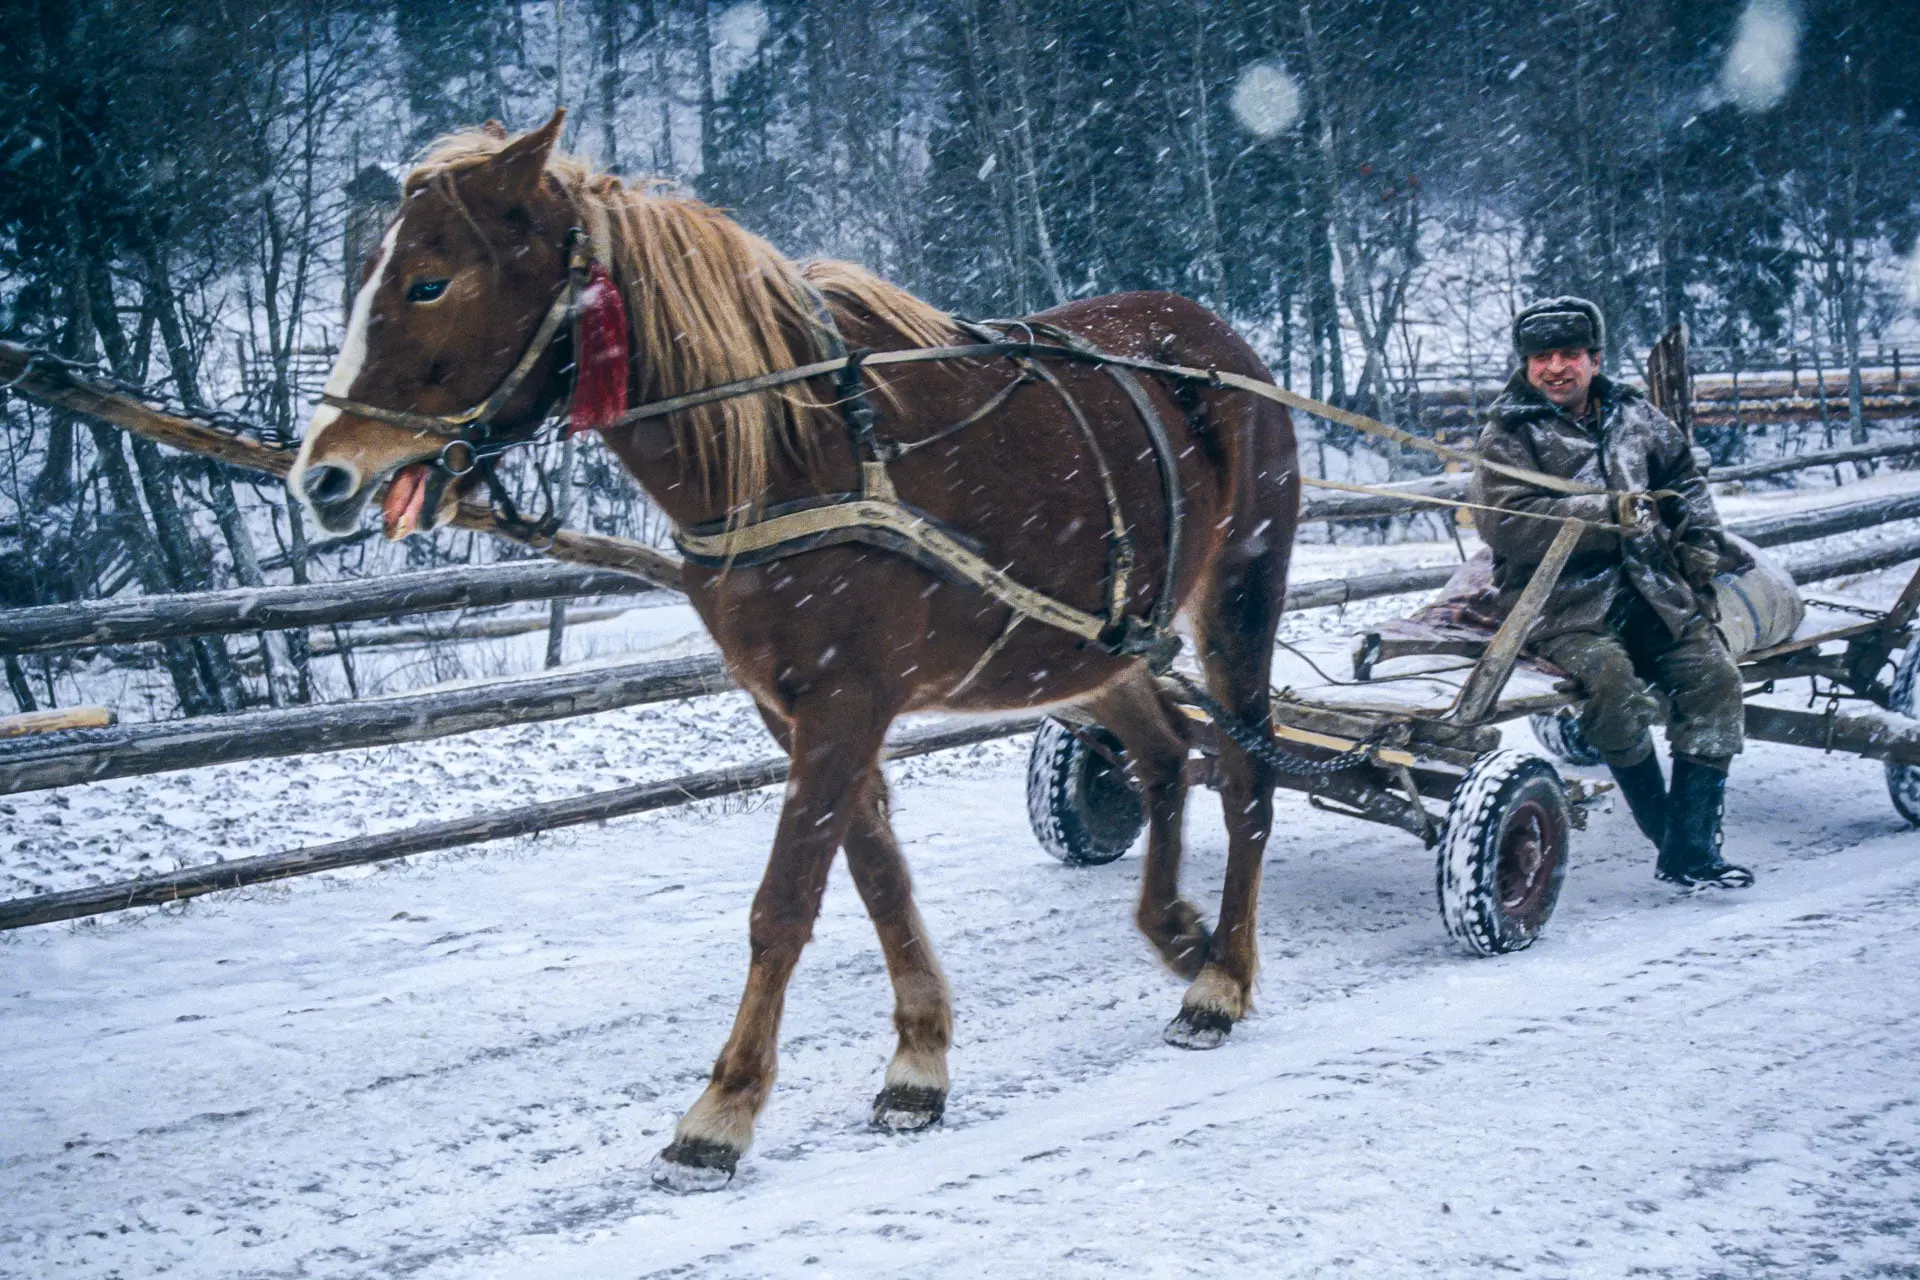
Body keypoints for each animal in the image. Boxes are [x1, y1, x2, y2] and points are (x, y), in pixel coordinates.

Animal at [284, 110, 1305, 1189]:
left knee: (1245, 772)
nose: (323, 475)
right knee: (1166, 756)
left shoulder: (845, 701)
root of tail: (1216, 343)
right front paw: (919, 1059)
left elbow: (784, 900)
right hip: (1079, 650)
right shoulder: (793, 706)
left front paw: (722, 1110)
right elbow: (874, 874)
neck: (788, 448)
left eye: (428, 282)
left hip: (1240, 589)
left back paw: (1222, 977)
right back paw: (1179, 930)